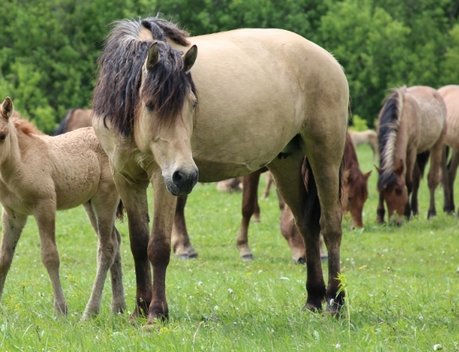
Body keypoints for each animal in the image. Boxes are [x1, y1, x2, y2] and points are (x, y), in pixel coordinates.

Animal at [0, 96, 126, 320]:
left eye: (2, 135)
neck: (19, 162)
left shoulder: (45, 206)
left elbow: (50, 256)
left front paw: (61, 310)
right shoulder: (13, 214)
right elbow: (4, 258)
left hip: (106, 199)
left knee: (107, 247)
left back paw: (89, 312)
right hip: (90, 204)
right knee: (116, 240)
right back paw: (117, 307)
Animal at [90, 17, 348, 324]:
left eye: (192, 104)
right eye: (150, 105)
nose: (186, 175)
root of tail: (329, 60)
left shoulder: (161, 178)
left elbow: (159, 246)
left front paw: (156, 312)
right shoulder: (126, 178)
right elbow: (139, 244)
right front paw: (139, 309)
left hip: (325, 155)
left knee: (330, 225)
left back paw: (336, 302)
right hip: (286, 162)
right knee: (307, 225)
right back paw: (313, 299)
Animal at [376, 86, 448, 224]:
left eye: (399, 191)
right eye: (384, 191)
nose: (395, 222)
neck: (403, 115)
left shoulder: (411, 150)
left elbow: (408, 182)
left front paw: (406, 213)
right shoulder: (381, 150)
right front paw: (380, 216)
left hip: (437, 145)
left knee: (432, 179)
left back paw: (431, 212)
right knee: (417, 179)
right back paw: (415, 210)